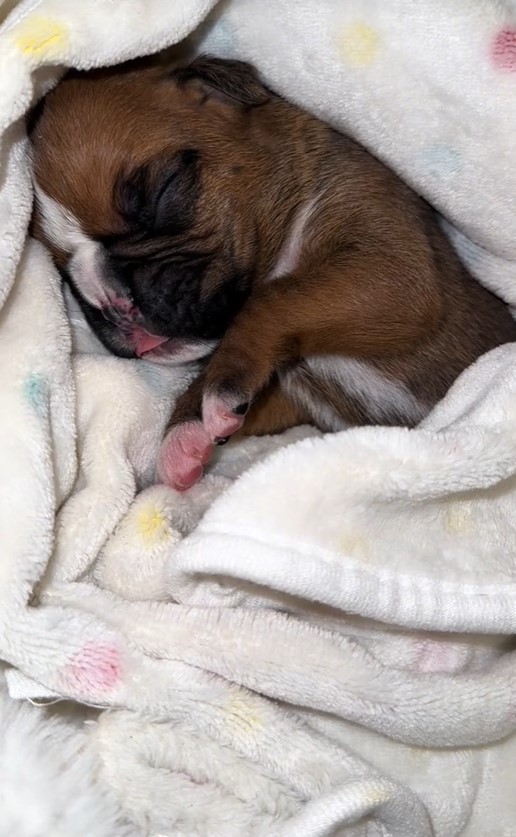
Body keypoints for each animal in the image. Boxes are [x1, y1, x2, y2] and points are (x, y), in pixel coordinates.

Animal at [28, 57, 516, 490]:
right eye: (63, 270)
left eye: (162, 192)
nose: (113, 302)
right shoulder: (289, 397)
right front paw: (186, 431)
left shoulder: (391, 272)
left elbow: (272, 300)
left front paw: (214, 390)